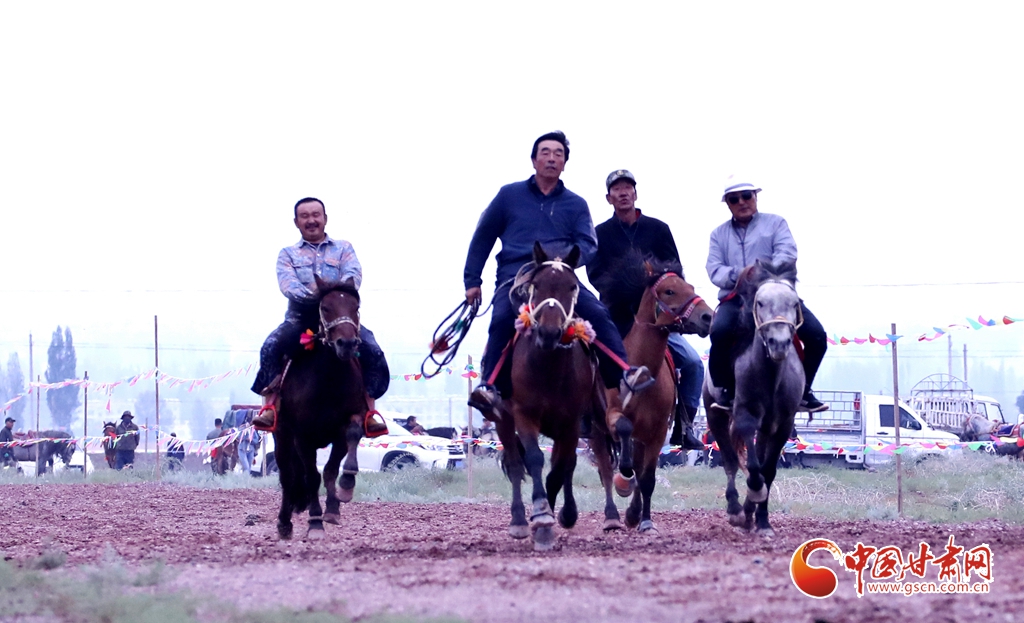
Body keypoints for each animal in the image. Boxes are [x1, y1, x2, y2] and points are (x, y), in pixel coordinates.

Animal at [274, 276, 372, 540]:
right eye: (325, 308)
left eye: (355, 307)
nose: (346, 343)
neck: (327, 381)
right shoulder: (302, 435)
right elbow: (312, 476)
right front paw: (316, 522)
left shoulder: (346, 423)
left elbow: (333, 466)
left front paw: (342, 494)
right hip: (281, 436)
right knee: (287, 475)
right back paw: (284, 523)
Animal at [493, 242, 602, 551]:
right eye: (537, 285)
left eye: (572, 286)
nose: (549, 332)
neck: (548, 367)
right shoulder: (524, 415)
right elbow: (533, 460)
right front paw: (540, 516)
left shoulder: (571, 423)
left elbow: (559, 469)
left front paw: (553, 519)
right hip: (503, 420)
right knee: (515, 465)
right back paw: (519, 520)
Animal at [591, 259, 713, 533]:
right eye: (669, 291)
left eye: (690, 287)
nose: (708, 317)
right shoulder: (613, 416)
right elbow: (623, 433)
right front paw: (624, 480)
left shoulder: (657, 434)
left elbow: (647, 479)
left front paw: (643, 520)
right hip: (596, 431)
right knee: (605, 470)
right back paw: (611, 516)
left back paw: (631, 513)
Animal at [702, 260, 804, 536]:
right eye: (760, 302)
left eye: (794, 303)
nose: (779, 343)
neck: (771, 375)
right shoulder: (746, 417)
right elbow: (753, 467)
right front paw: (752, 498)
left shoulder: (783, 425)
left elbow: (768, 470)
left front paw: (762, 520)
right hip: (714, 415)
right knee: (730, 462)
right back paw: (735, 509)